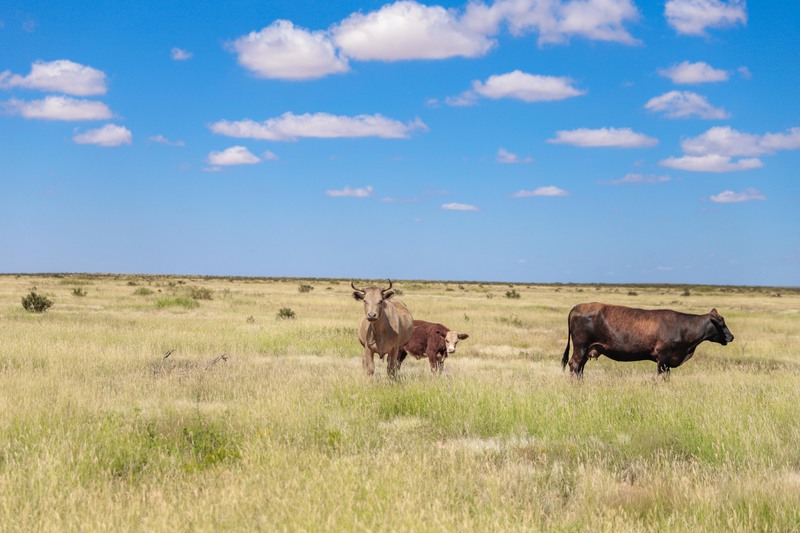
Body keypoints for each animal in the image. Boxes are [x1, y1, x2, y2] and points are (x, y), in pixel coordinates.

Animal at [560, 302, 736, 376]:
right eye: (722, 323)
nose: (731, 336)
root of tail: (578, 306)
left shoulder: (668, 362)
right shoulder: (663, 358)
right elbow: (659, 377)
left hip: (585, 350)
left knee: (580, 368)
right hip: (581, 347)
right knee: (575, 365)